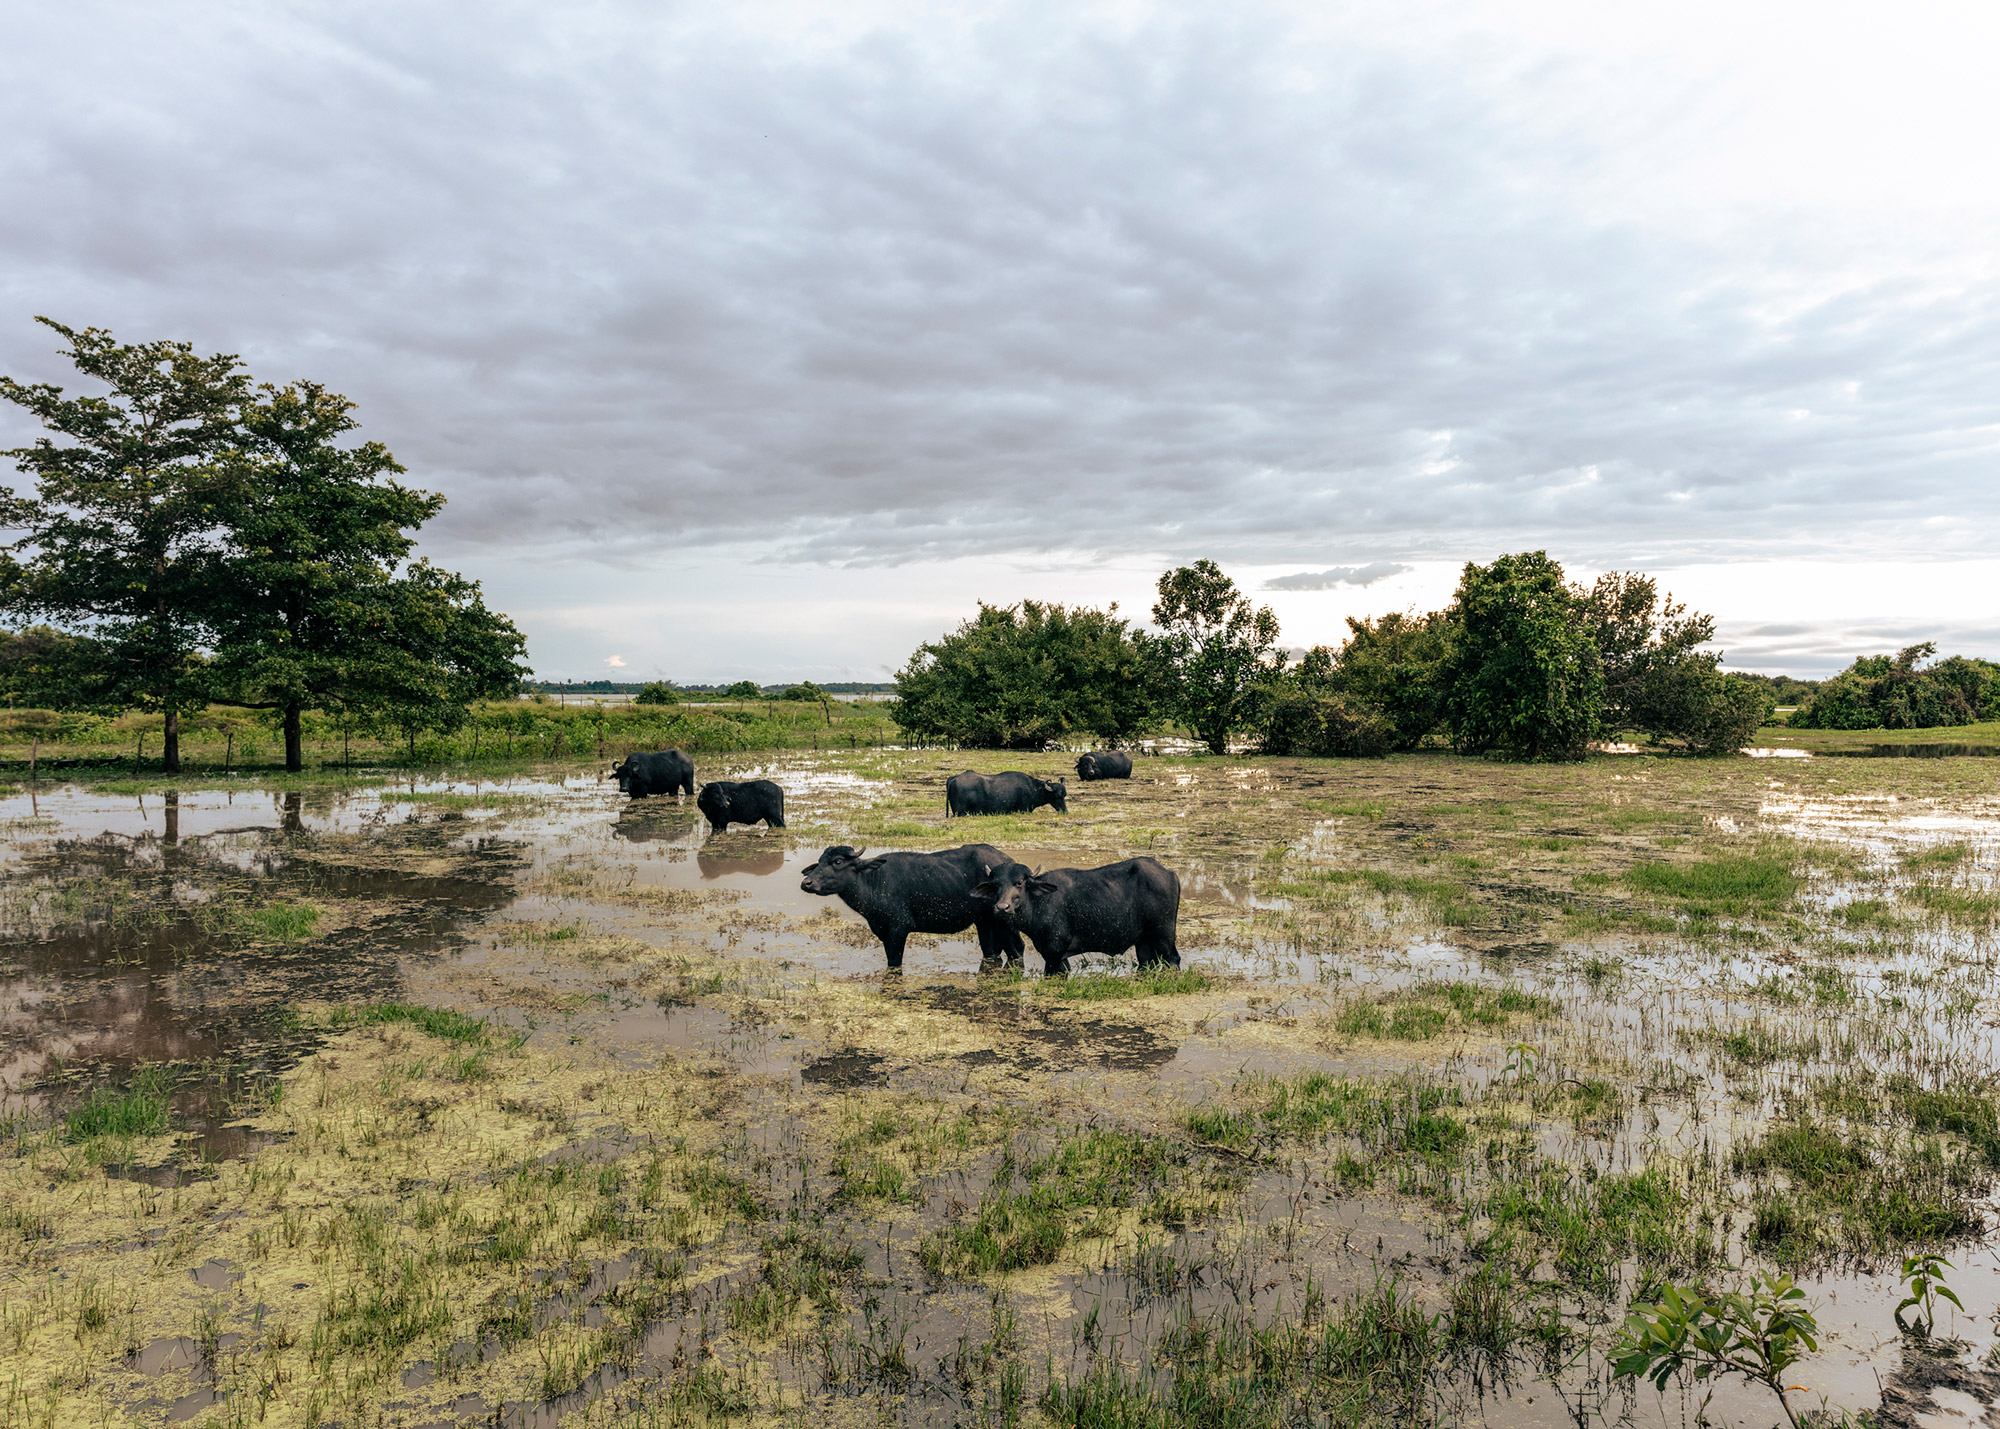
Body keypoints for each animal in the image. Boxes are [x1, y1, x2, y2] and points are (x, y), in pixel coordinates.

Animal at [796, 836, 1024, 968]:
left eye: (838, 861)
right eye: (820, 862)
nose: (806, 883)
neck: (874, 881)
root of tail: (1009, 862)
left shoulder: (899, 928)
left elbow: (894, 964)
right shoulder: (882, 932)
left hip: (1004, 922)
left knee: (1017, 949)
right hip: (984, 922)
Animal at [976, 852, 1176, 972]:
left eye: (1019, 882)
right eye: (995, 885)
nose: (1002, 907)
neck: (1040, 902)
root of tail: (1169, 873)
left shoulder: (1054, 952)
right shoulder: (1058, 957)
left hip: (1164, 936)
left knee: (1173, 960)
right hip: (1144, 941)